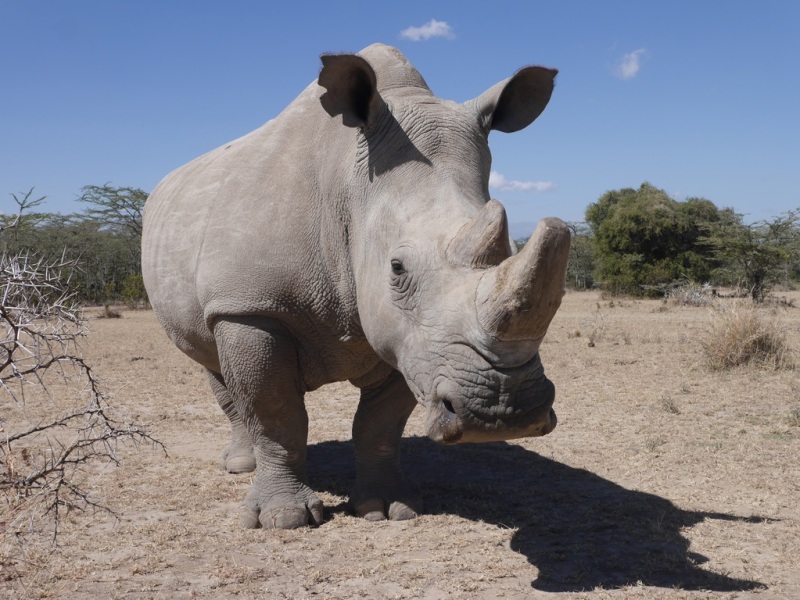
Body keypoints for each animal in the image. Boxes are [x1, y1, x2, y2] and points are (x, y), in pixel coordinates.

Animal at [142, 43, 568, 528]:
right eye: (397, 268)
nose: (503, 411)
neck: (347, 188)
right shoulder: (250, 303)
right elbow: (276, 415)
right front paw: (286, 519)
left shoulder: (408, 336)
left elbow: (379, 425)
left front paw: (386, 508)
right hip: (219, 294)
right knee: (212, 362)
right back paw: (240, 467)